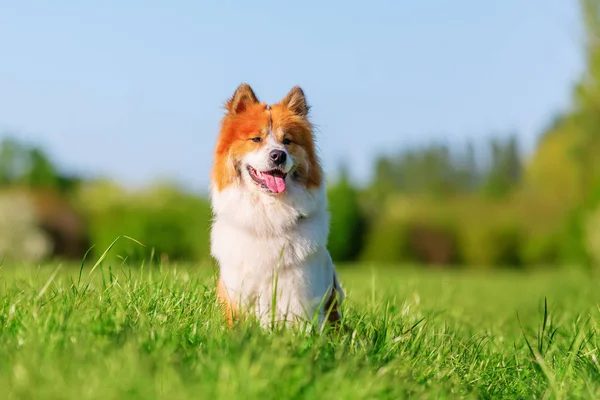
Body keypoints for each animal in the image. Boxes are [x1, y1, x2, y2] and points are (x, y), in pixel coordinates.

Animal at [210, 83, 342, 328]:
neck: (268, 217)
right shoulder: (237, 292)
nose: (278, 156)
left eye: (287, 141)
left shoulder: (298, 292)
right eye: (256, 139)